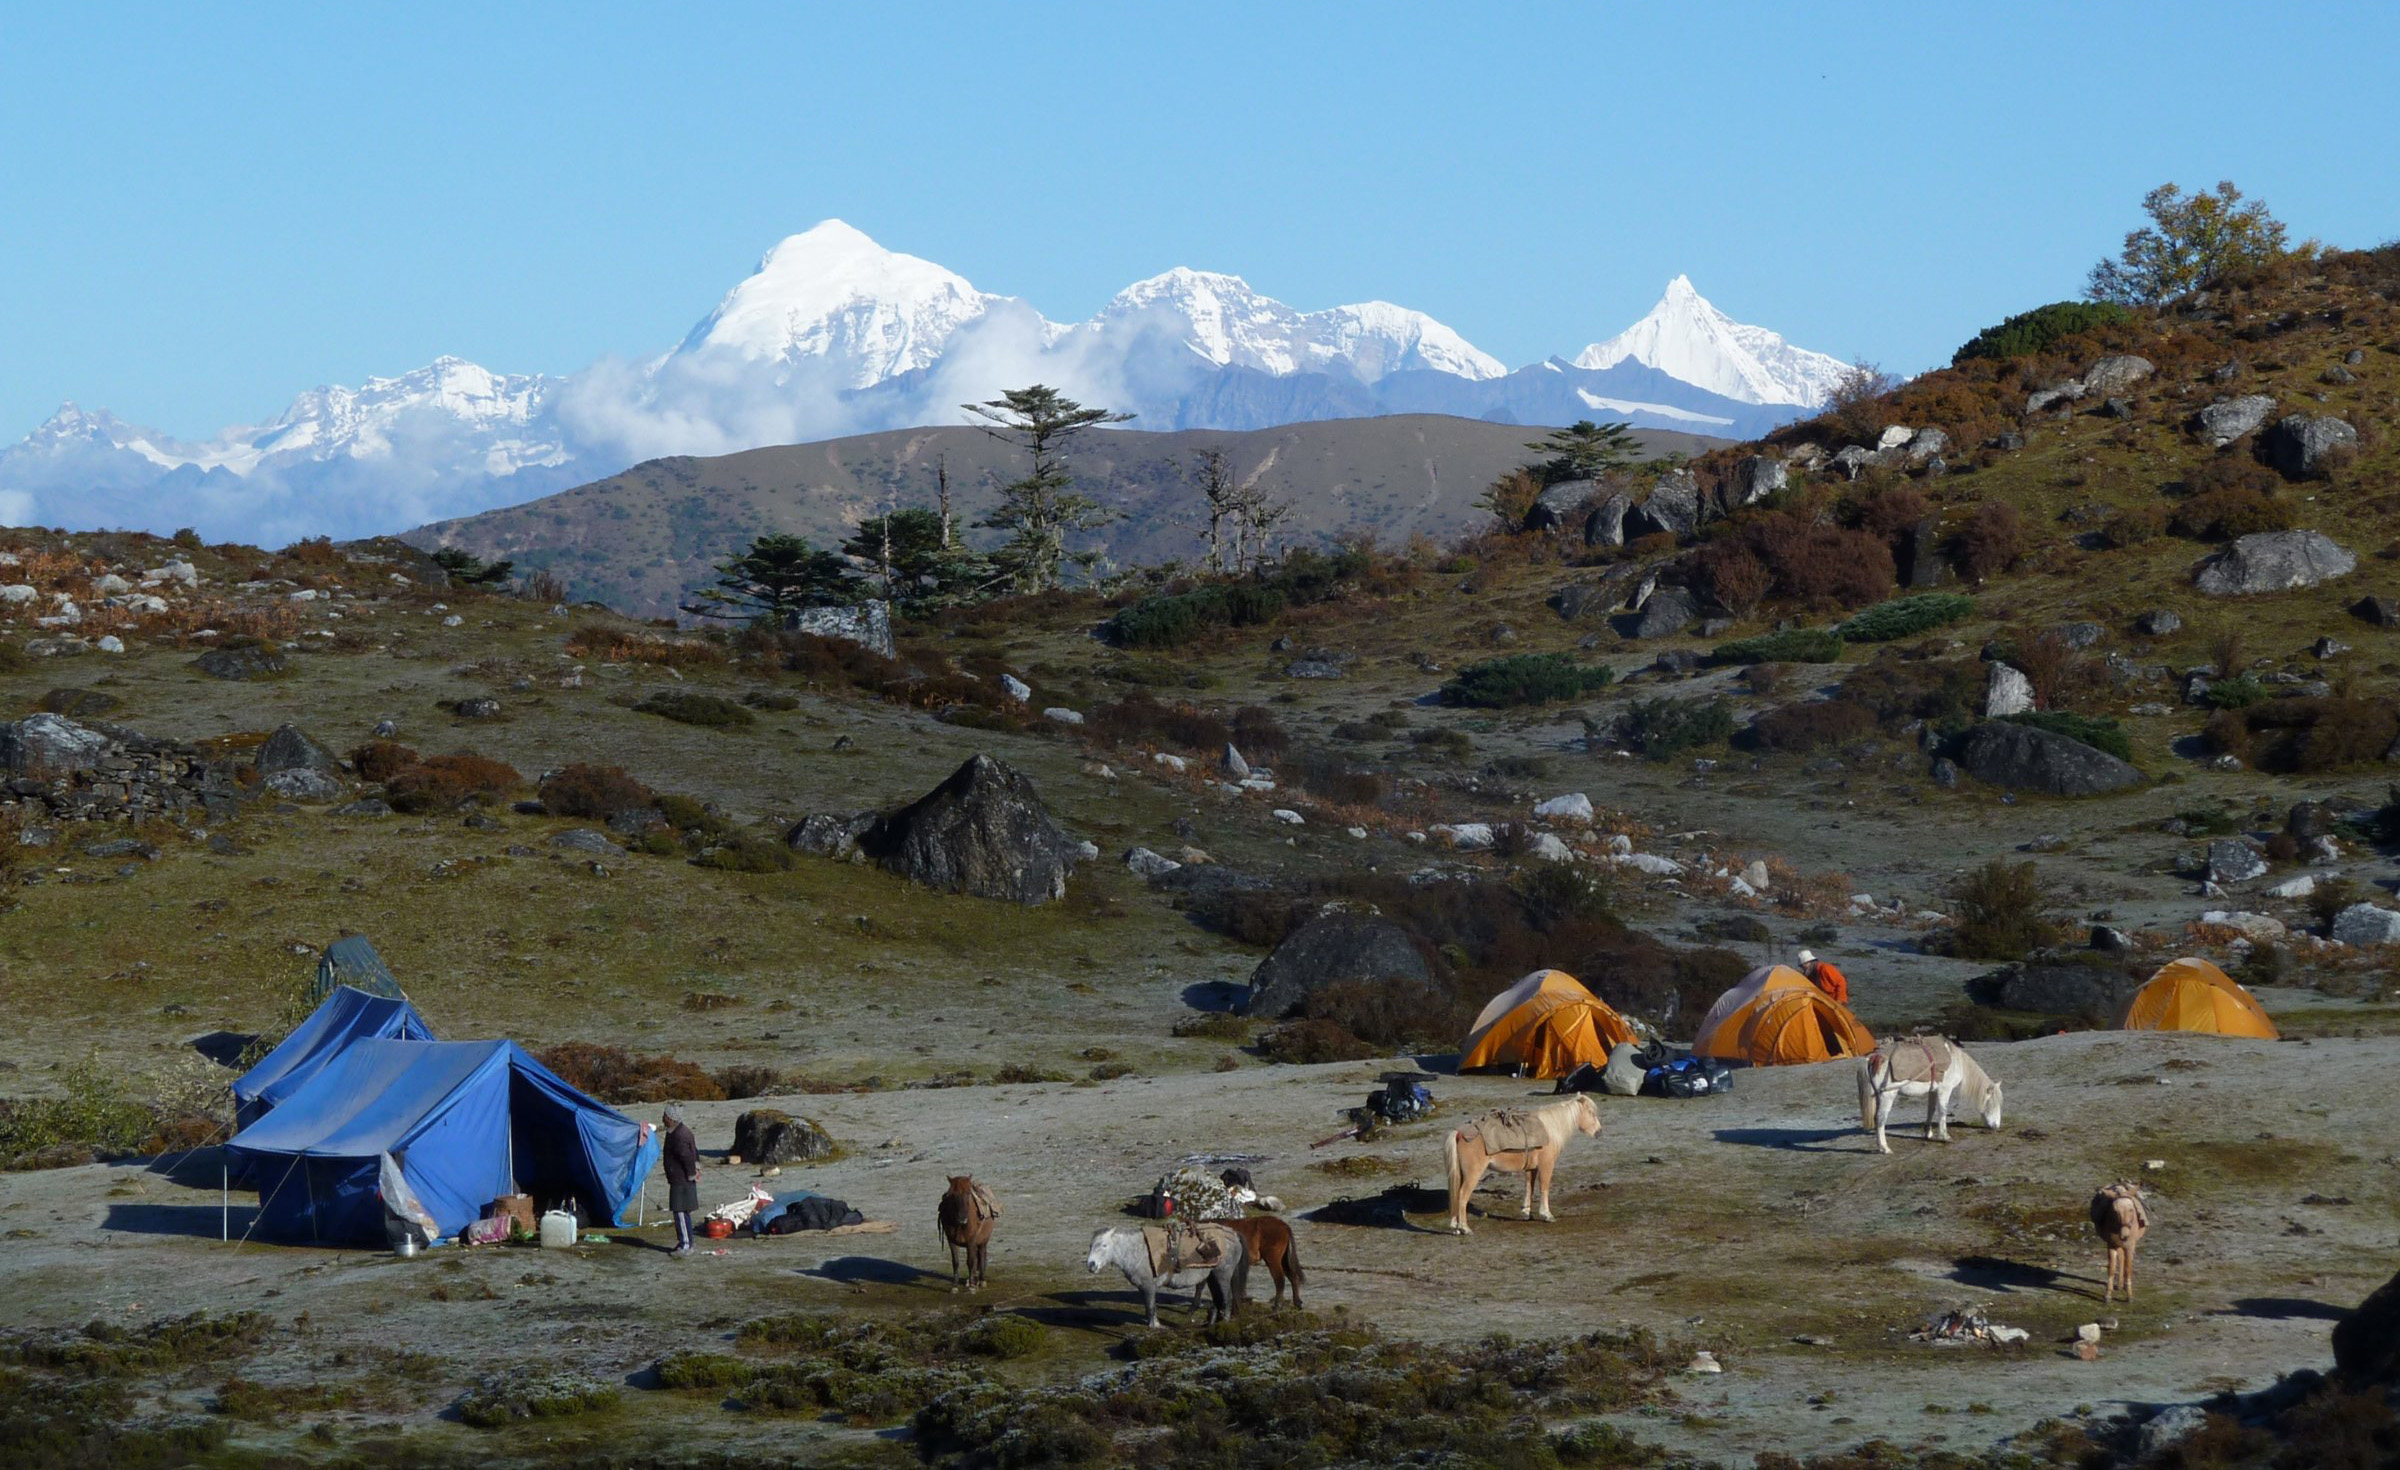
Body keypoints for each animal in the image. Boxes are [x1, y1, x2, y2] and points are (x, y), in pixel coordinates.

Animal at [1084, 1225, 1238, 1325]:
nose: (1091, 1265)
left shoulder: (1149, 1285)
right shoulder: (1143, 1287)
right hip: (1212, 1277)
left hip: (1222, 1275)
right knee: (1216, 1300)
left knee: (1228, 1297)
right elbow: (1148, 1306)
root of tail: (1233, 1235)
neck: (1136, 1251)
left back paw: (1225, 1321)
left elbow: (1151, 1306)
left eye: (1104, 1245)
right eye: (1090, 1246)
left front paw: (1155, 1325)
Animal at [1430, 1095, 1603, 1229]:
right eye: (1591, 1112)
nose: (1599, 1132)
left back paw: (1455, 1226)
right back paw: (1464, 1228)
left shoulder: (1531, 1168)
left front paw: (1526, 1212)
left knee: (1455, 1195)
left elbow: (1529, 1188)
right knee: (1462, 1196)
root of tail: (1459, 1133)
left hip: (1460, 1174)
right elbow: (1544, 1188)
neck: (1548, 1129)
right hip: (1473, 1175)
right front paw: (1546, 1214)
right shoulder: (1546, 1165)